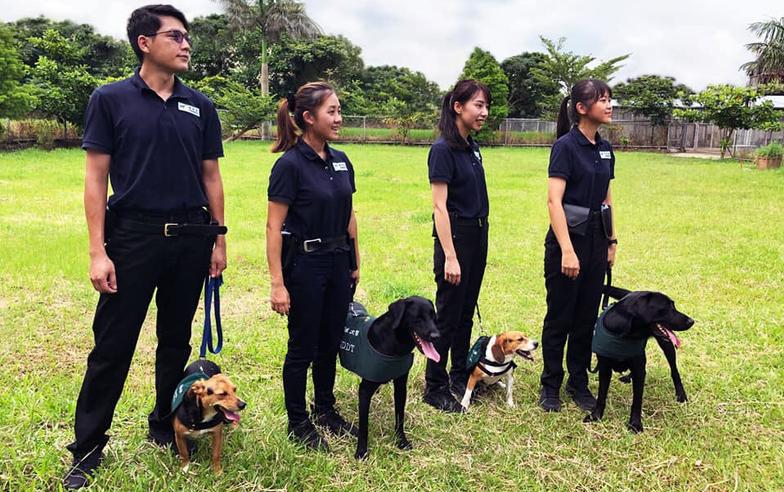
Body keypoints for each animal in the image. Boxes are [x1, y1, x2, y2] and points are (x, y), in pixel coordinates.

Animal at [340, 296, 440, 462]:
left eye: (434, 317)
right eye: (418, 318)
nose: (436, 337)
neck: (392, 343)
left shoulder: (401, 387)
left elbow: (400, 416)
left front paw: (401, 441)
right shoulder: (364, 391)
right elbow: (364, 426)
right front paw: (361, 451)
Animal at [584, 290, 696, 432]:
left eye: (673, 306)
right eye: (667, 307)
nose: (691, 321)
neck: (625, 333)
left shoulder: (638, 367)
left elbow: (637, 400)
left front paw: (635, 424)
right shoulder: (604, 368)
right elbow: (601, 395)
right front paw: (596, 416)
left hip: (667, 345)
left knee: (674, 371)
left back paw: (681, 395)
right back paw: (628, 377)